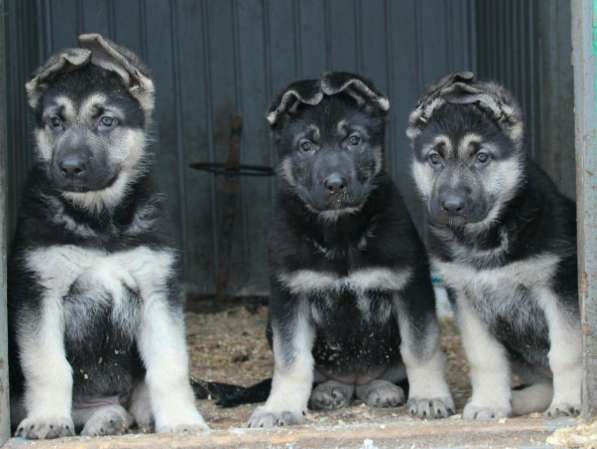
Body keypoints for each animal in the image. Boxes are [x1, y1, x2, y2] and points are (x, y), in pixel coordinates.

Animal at [6, 34, 207, 438]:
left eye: (106, 121)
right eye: (55, 121)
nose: (70, 167)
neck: (100, 220)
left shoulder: (156, 291)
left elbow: (170, 366)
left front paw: (181, 419)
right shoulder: (39, 293)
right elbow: (49, 366)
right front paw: (48, 418)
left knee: (135, 402)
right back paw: (100, 418)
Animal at [244, 73, 454, 428]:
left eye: (354, 140)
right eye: (307, 146)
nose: (335, 185)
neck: (339, 232)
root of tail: (355, 382)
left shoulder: (410, 289)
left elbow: (420, 349)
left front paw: (430, 397)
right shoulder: (290, 298)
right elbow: (291, 361)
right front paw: (279, 407)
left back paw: (380, 387)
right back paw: (329, 390)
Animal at [408, 72, 580, 418]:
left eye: (482, 157)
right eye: (435, 158)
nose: (452, 205)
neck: (483, 239)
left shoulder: (558, 288)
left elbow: (565, 353)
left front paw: (569, 402)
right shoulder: (466, 298)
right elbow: (484, 358)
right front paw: (489, 403)